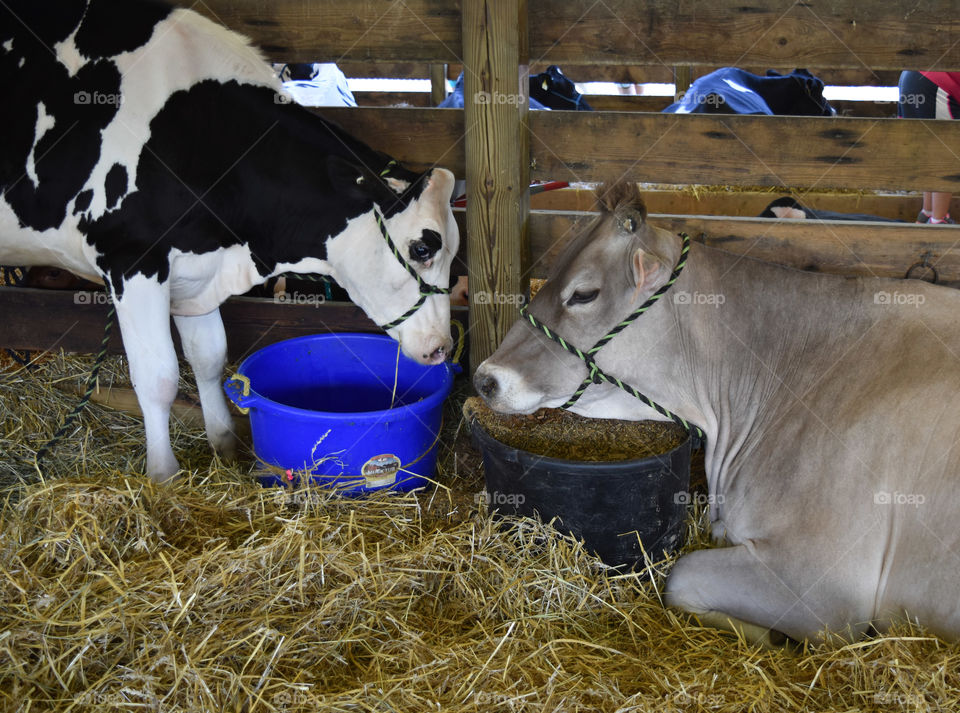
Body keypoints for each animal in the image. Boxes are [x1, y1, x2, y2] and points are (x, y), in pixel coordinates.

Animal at [0, 1, 458, 484]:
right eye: (422, 248)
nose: (441, 348)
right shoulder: (131, 259)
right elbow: (158, 376)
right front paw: (164, 477)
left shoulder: (195, 273)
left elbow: (209, 358)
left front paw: (223, 446)